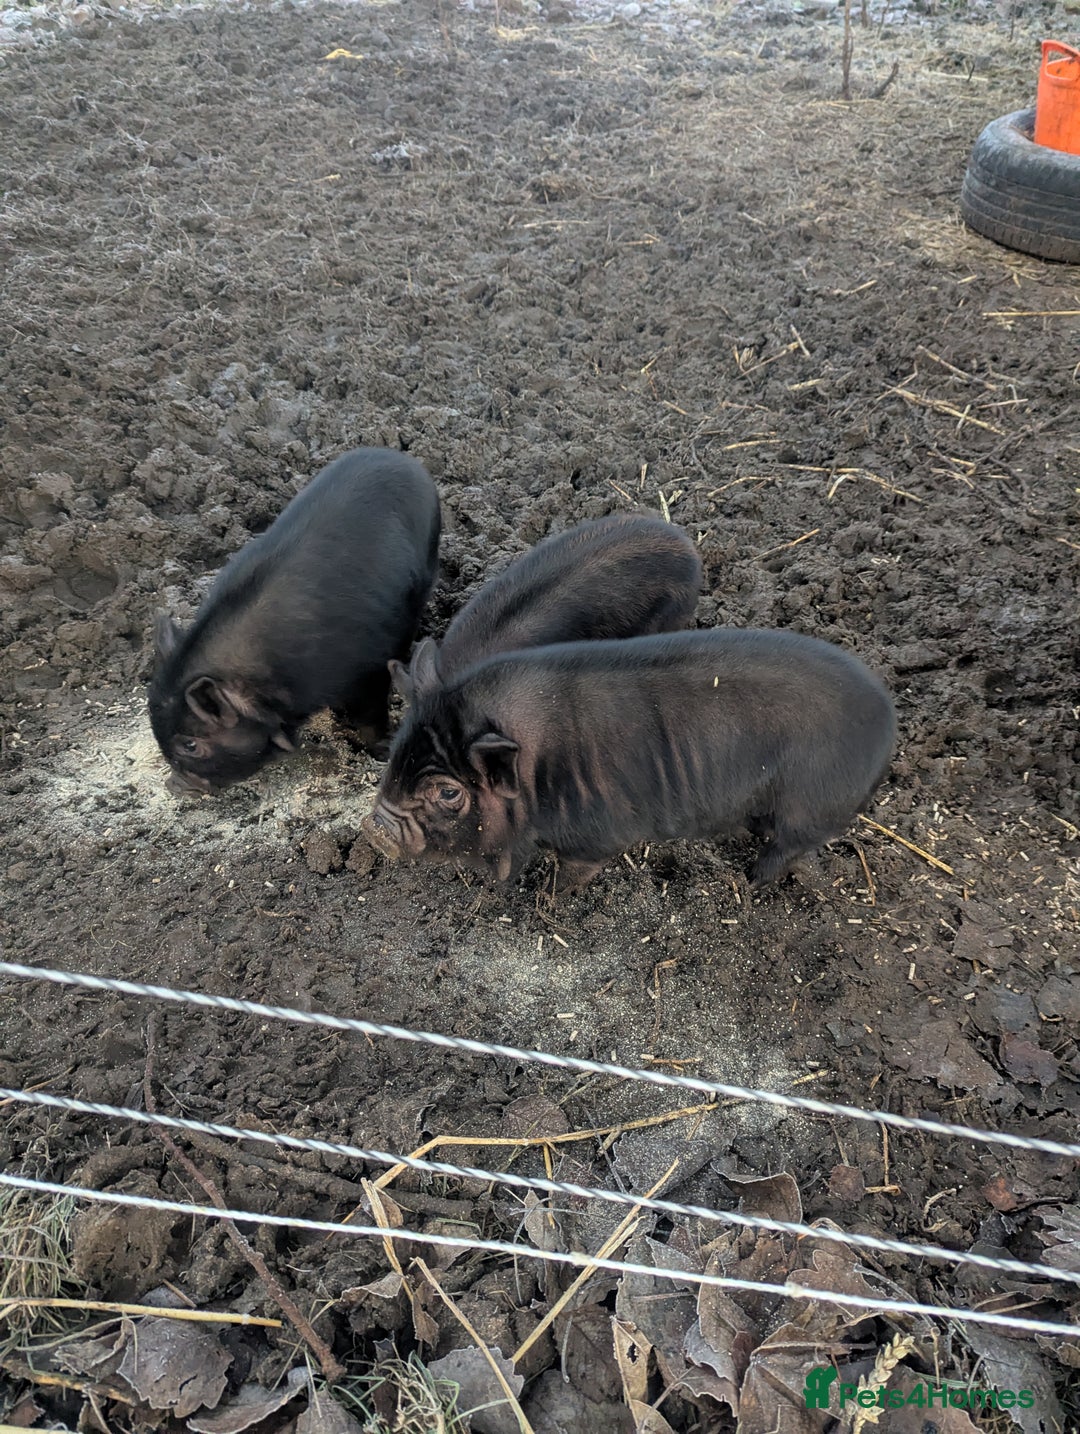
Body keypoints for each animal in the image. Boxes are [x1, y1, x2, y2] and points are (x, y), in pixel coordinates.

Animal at [148, 447, 440, 794]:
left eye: (190, 744)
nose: (172, 784)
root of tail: (396, 455)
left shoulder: (373, 666)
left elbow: (371, 716)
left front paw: (381, 750)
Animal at [363, 628, 896, 891]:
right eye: (395, 753)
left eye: (448, 792)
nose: (373, 827)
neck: (536, 772)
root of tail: (887, 719)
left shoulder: (597, 837)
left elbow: (572, 873)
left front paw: (549, 899)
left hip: (812, 808)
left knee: (787, 848)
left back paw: (750, 882)